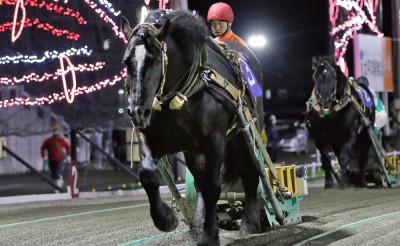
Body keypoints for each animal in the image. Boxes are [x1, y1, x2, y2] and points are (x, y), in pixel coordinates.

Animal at [120, 10, 264, 245]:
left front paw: (210, 235)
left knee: (250, 172)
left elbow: (212, 187)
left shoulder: (215, 141)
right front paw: (166, 219)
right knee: (199, 182)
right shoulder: (151, 136)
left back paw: (249, 224)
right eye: (126, 62)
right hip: (193, 150)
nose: (137, 111)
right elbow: (148, 175)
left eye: (155, 60)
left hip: (245, 133)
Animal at [306, 55, 376, 188]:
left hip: (366, 135)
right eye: (315, 77)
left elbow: (344, 158)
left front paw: (344, 182)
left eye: (333, 77)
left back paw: (363, 181)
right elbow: (326, 161)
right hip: (336, 142)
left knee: (363, 157)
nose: (325, 102)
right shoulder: (320, 139)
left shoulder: (350, 134)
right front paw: (329, 183)